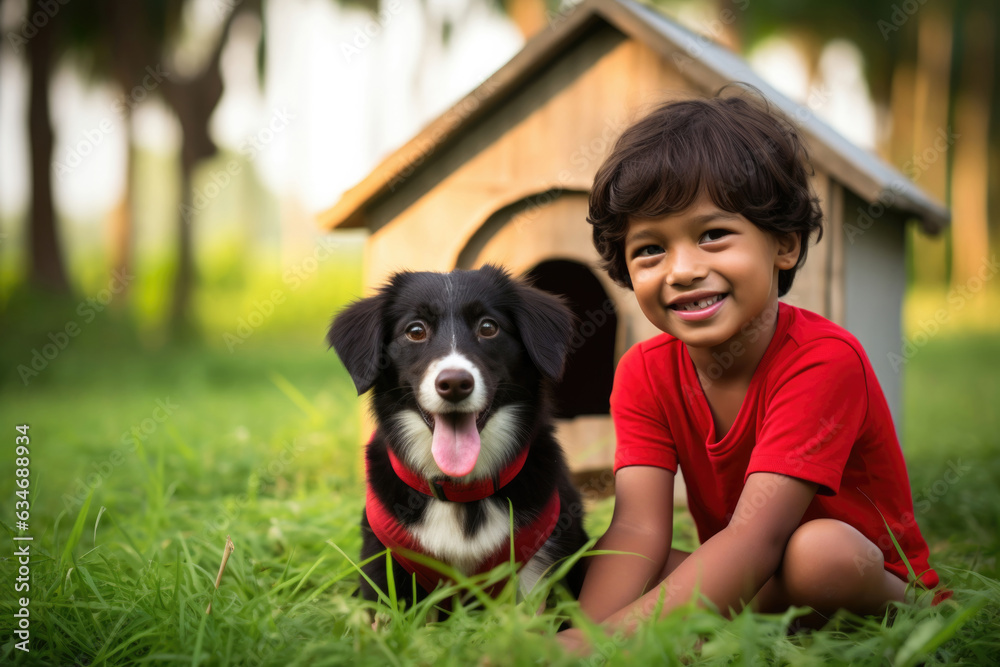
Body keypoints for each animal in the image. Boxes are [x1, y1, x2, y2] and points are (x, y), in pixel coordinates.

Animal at [328, 264, 588, 616]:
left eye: (488, 327)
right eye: (415, 330)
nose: (454, 384)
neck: (460, 491)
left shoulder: (539, 565)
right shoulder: (385, 564)